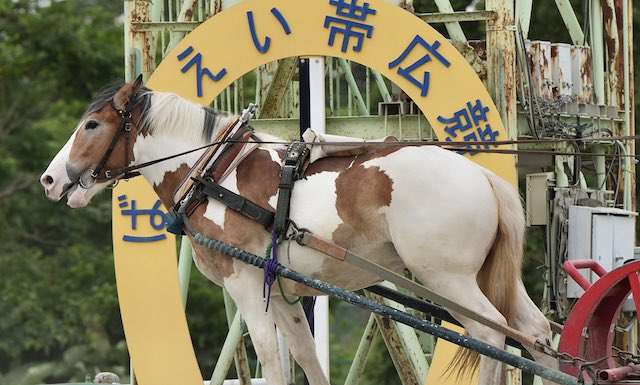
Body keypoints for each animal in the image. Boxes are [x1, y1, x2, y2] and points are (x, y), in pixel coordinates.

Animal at [40, 76, 556, 382]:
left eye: (92, 125)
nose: (50, 179)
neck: (215, 172)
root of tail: (482, 176)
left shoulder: (245, 282)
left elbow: (269, 355)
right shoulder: (285, 291)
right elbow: (304, 356)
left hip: (447, 278)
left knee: (491, 337)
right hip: (483, 278)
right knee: (535, 332)